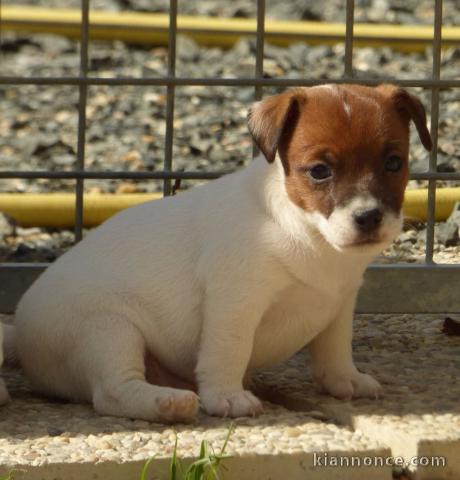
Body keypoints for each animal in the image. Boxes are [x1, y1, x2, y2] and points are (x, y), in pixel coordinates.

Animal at [3, 85, 432, 420]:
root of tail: (20, 334)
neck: (309, 234)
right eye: (319, 171)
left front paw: (344, 381)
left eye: (394, 163)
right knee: (111, 391)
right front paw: (227, 397)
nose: (369, 217)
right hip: (107, 329)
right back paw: (169, 404)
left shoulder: (339, 303)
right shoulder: (235, 304)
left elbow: (334, 347)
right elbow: (229, 350)